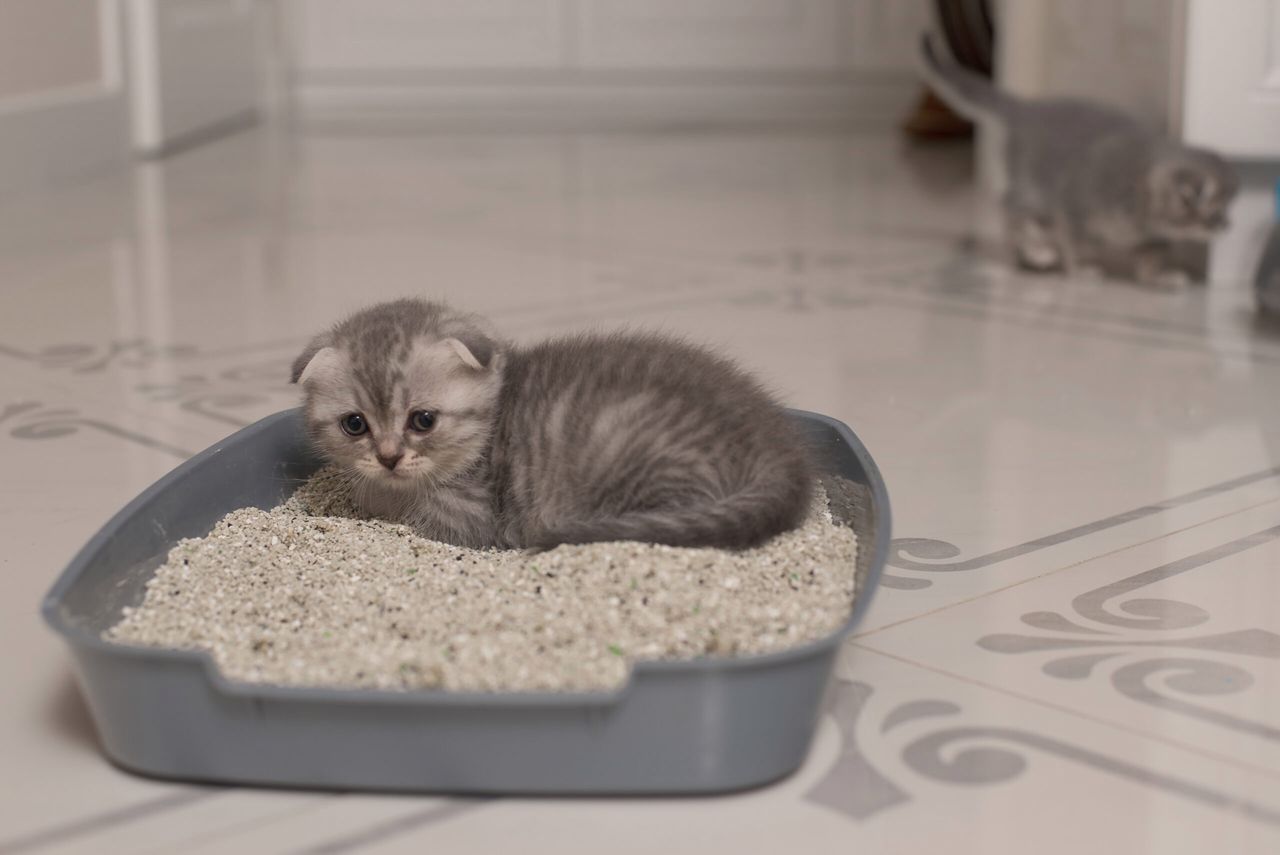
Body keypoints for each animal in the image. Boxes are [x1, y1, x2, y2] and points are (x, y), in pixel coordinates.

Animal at [921, 34, 1239, 286]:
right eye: (1213, 210)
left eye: (1227, 207)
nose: (1227, 225)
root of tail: (1026, 107)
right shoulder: (1074, 204)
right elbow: (1075, 242)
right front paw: (1080, 268)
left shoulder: (1152, 238)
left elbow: (1151, 258)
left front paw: (1160, 277)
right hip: (1034, 190)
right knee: (1011, 209)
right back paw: (1037, 252)